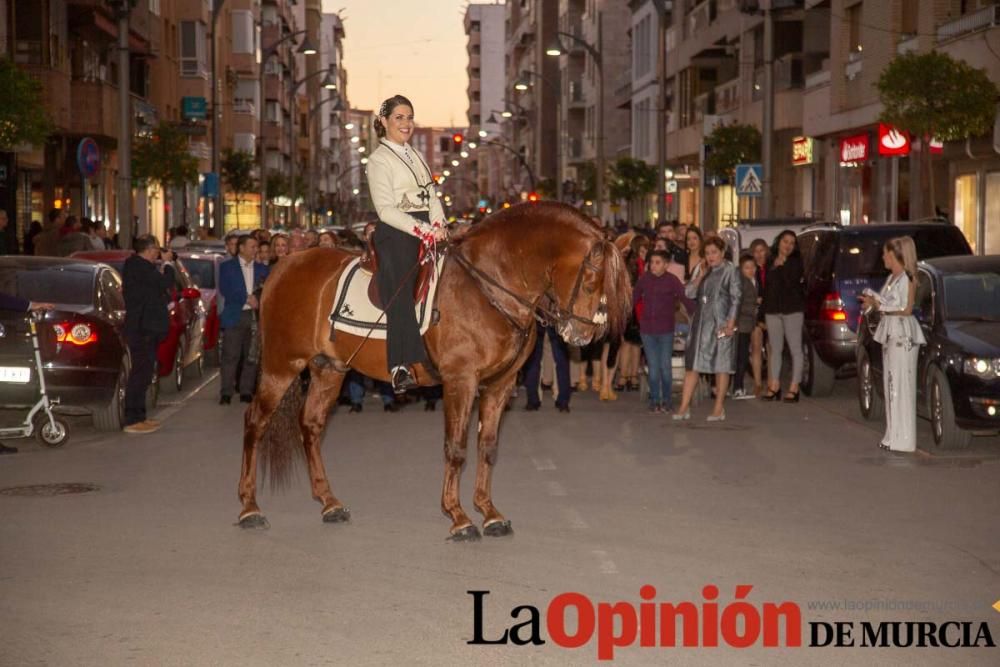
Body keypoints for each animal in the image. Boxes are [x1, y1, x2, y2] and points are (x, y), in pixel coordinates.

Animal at [238, 201, 628, 540]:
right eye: (591, 279)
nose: (585, 334)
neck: (488, 288)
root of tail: (283, 265)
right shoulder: (461, 381)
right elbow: (456, 448)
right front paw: (458, 517)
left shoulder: (499, 385)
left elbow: (487, 446)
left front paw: (489, 512)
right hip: (281, 365)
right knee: (255, 422)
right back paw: (249, 507)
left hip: (329, 369)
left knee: (311, 425)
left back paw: (329, 503)